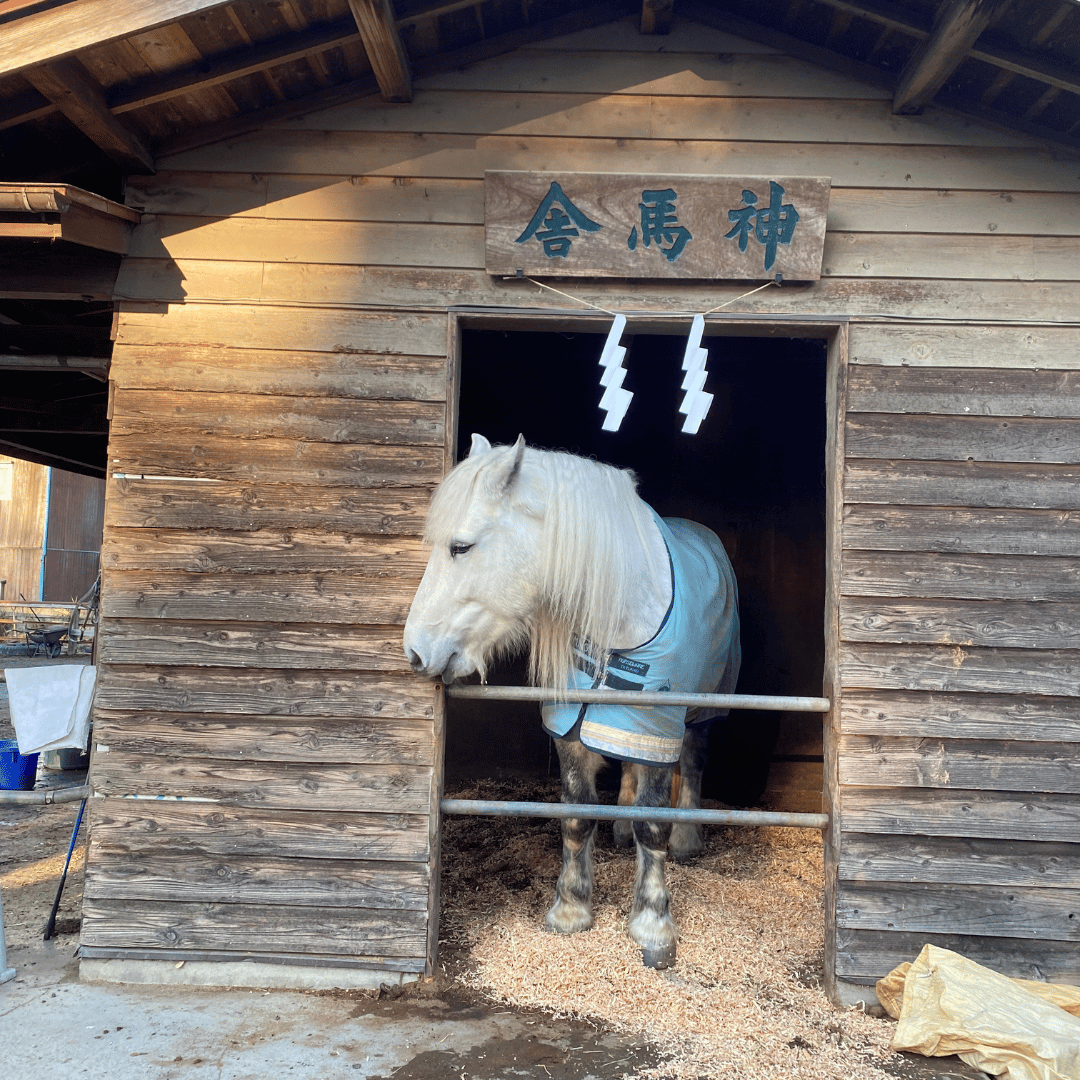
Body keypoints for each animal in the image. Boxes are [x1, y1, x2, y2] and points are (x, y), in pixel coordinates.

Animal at [404, 434, 741, 969]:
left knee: (693, 760)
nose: (414, 651)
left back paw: (688, 840)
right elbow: (578, 814)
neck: (623, 616)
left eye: (461, 546)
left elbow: (652, 823)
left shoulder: (659, 727)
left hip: (702, 708)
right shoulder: (573, 729)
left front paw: (653, 925)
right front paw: (571, 909)